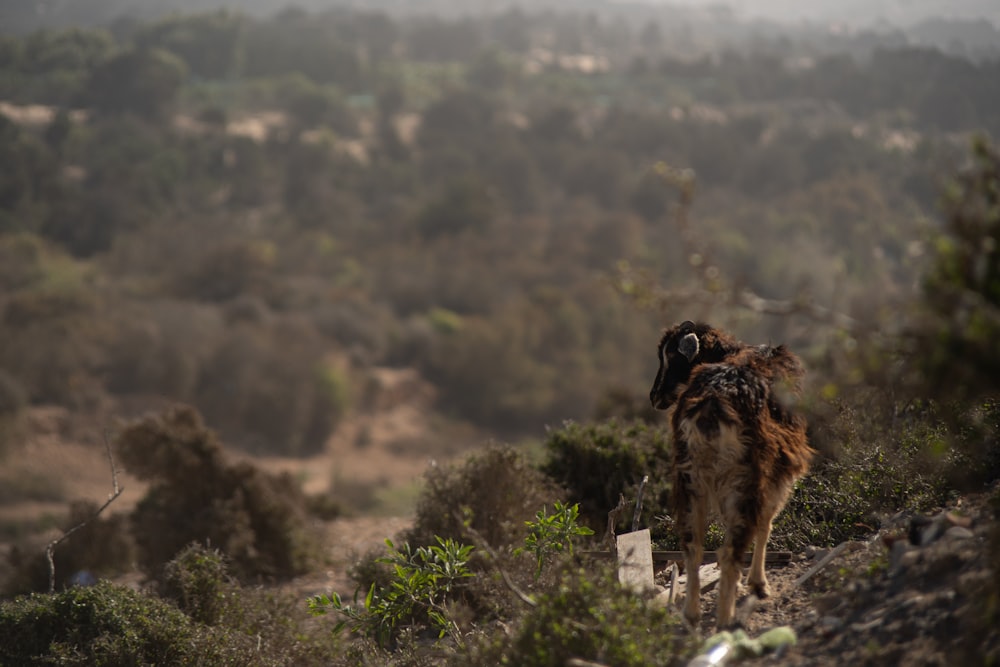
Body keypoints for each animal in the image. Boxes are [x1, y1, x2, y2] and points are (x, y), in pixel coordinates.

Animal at [648, 324, 812, 632]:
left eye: (672, 357)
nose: (654, 397)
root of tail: (710, 407)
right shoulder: (780, 470)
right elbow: (766, 524)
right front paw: (758, 584)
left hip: (689, 478)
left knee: (693, 546)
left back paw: (692, 615)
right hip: (746, 475)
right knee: (730, 548)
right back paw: (726, 619)